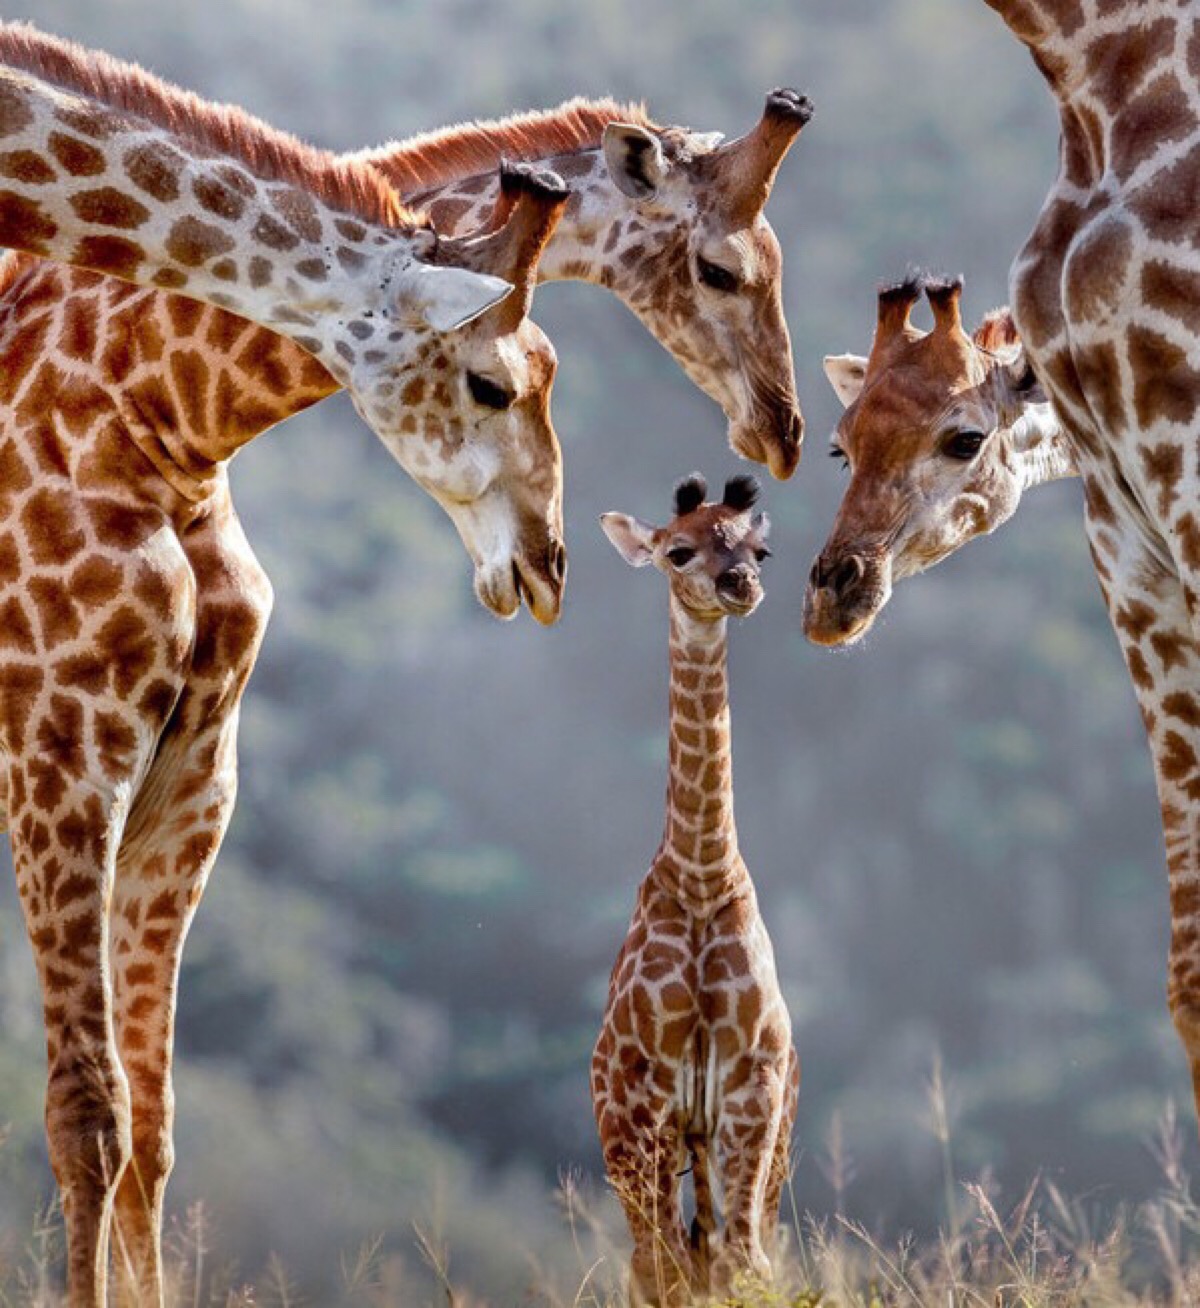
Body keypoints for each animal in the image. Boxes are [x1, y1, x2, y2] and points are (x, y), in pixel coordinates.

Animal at [588, 476, 795, 1302]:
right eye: (678, 551)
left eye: (759, 549)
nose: (740, 586)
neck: (703, 875)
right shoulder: (646, 1095)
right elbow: (667, 1268)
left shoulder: (752, 1082)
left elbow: (747, 1264)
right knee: (660, 1262)